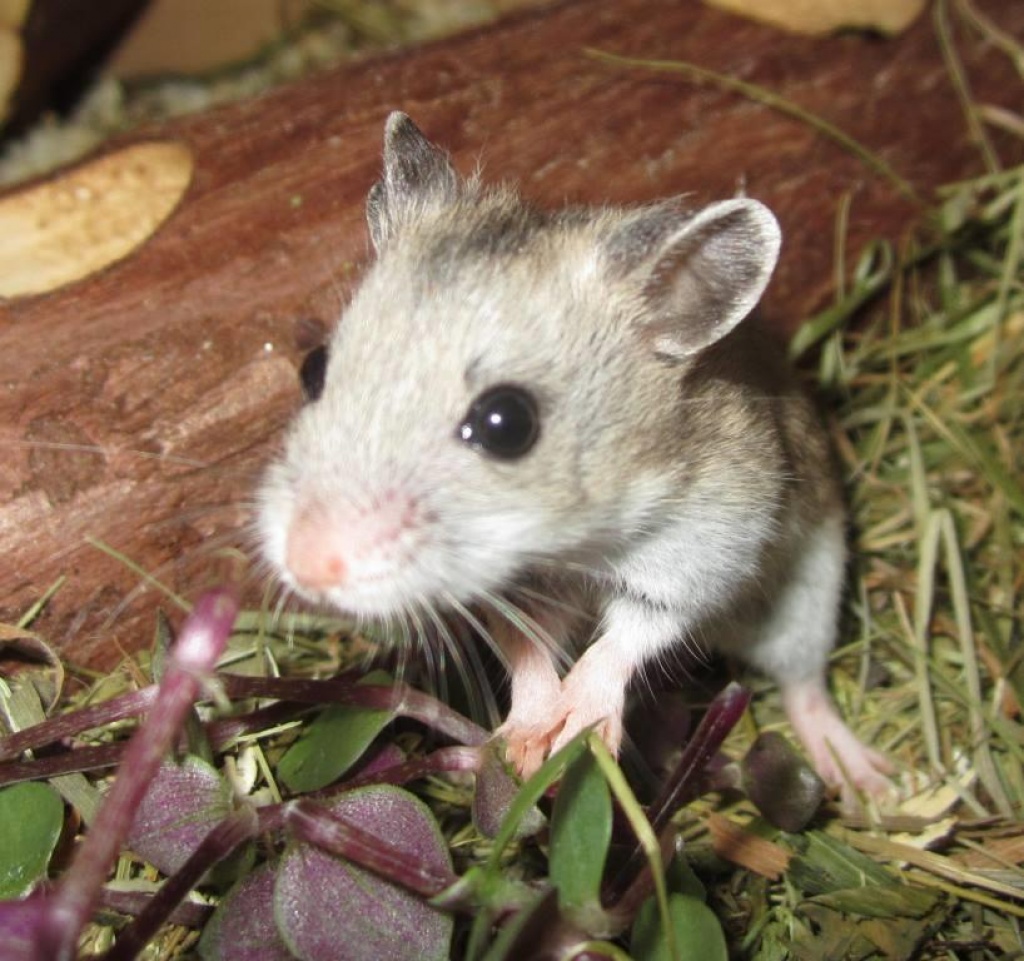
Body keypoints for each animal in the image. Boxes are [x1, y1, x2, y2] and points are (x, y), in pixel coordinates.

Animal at [259, 112, 892, 794]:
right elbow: (528, 646)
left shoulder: (702, 553)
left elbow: (629, 637)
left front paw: (578, 735)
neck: (568, 543)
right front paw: (522, 748)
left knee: (805, 684)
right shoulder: (513, 589)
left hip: (808, 595)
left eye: (506, 423)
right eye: (313, 369)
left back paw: (865, 780)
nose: (306, 567)